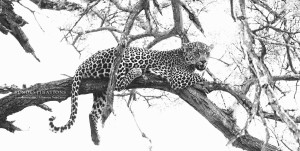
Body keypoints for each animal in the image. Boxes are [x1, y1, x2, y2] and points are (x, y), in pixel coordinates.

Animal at [48, 41, 212, 145]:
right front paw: (209, 83)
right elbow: (196, 76)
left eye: (208, 53)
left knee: (92, 113)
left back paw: (95, 138)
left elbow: (196, 76)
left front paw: (202, 86)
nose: (204, 61)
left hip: (102, 91)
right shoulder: (176, 76)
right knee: (119, 82)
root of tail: (84, 63)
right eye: (197, 52)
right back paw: (137, 71)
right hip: (120, 59)